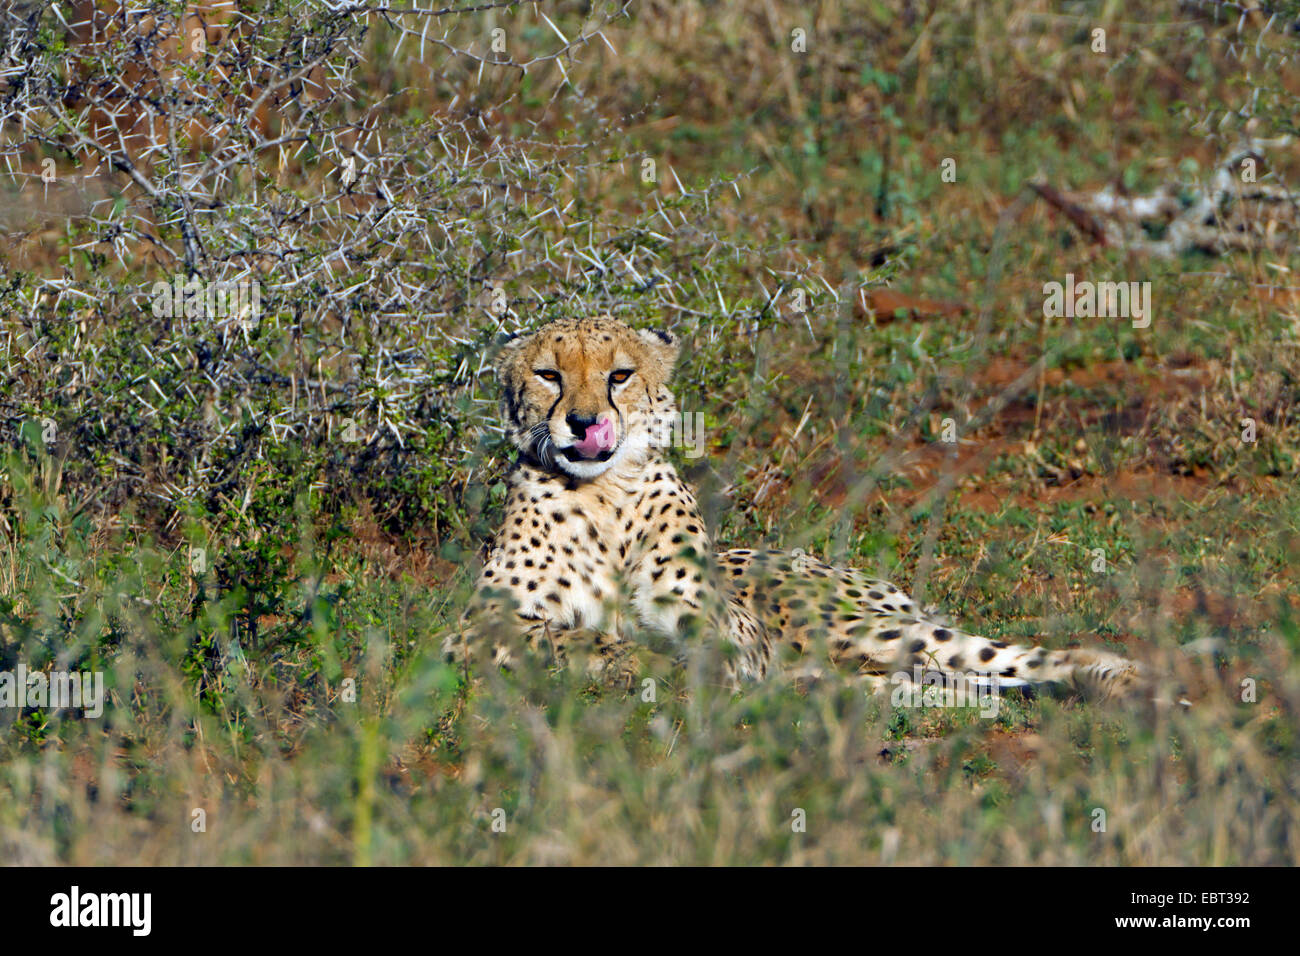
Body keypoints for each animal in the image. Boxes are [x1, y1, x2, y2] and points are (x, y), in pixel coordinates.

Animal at [444, 317, 1149, 697]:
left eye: (619, 375)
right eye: (549, 375)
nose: (585, 422)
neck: (604, 493)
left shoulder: (736, 634)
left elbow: (703, 646)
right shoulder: (470, 628)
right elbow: (568, 635)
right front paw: (635, 662)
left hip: (855, 627)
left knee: (1011, 658)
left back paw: (1128, 681)